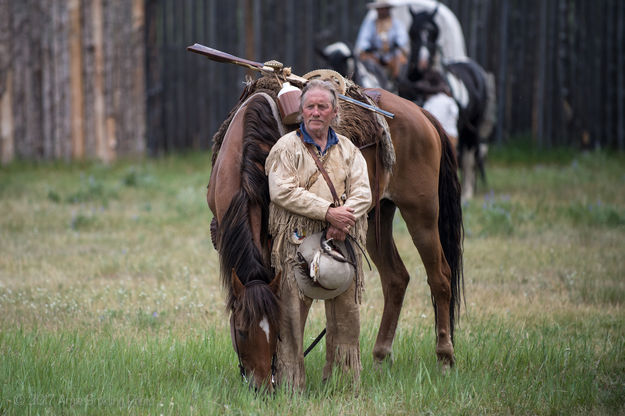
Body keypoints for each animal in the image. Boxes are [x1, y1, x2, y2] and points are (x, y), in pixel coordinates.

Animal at [207, 75, 460, 390]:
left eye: (275, 330)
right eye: (241, 330)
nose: (262, 387)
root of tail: (421, 114)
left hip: (421, 214)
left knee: (440, 277)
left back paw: (445, 359)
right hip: (376, 218)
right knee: (396, 279)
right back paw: (380, 358)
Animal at [400, 6, 498, 202]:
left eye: (433, 34)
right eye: (412, 32)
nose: (423, 62)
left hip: (471, 128)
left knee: (468, 155)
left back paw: (467, 192)